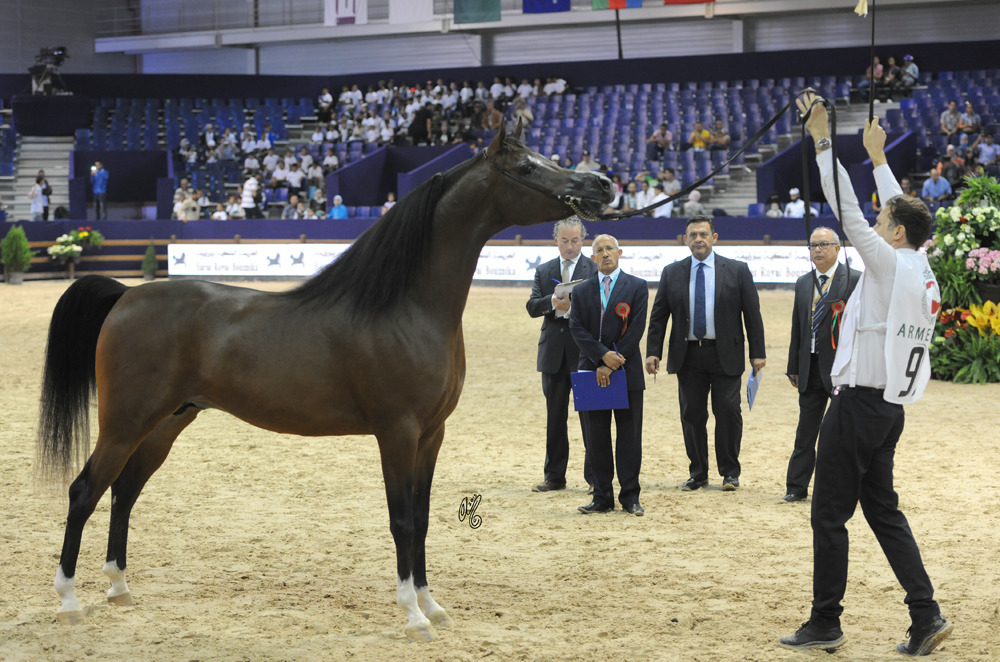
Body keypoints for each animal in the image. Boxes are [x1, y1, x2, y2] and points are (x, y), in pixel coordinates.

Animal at [35, 121, 613, 641]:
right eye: (525, 167)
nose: (602, 185)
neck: (406, 307)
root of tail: (126, 294)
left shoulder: (432, 434)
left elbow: (423, 517)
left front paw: (433, 604)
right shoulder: (397, 432)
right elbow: (401, 520)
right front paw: (413, 616)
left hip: (166, 423)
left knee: (124, 491)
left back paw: (118, 588)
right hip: (125, 422)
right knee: (85, 491)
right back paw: (68, 603)